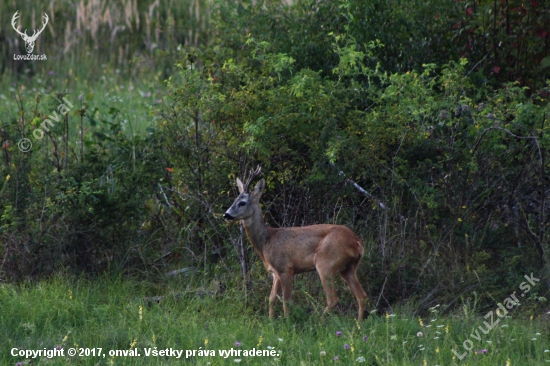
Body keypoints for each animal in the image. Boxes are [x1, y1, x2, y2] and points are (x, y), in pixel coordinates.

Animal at [222, 166, 368, 320]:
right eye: (234, 200)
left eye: (242, 202)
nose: (226, 214)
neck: (267, 242)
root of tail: (357, 242)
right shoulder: (275, 273)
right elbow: (271, 299)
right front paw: (271, 320)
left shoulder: (286, 268)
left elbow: (286, 300)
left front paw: (287, 321)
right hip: (348, 267)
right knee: (361, 295)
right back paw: (359, 323)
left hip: (326, 263)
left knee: (333, 299)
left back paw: (318, 321)